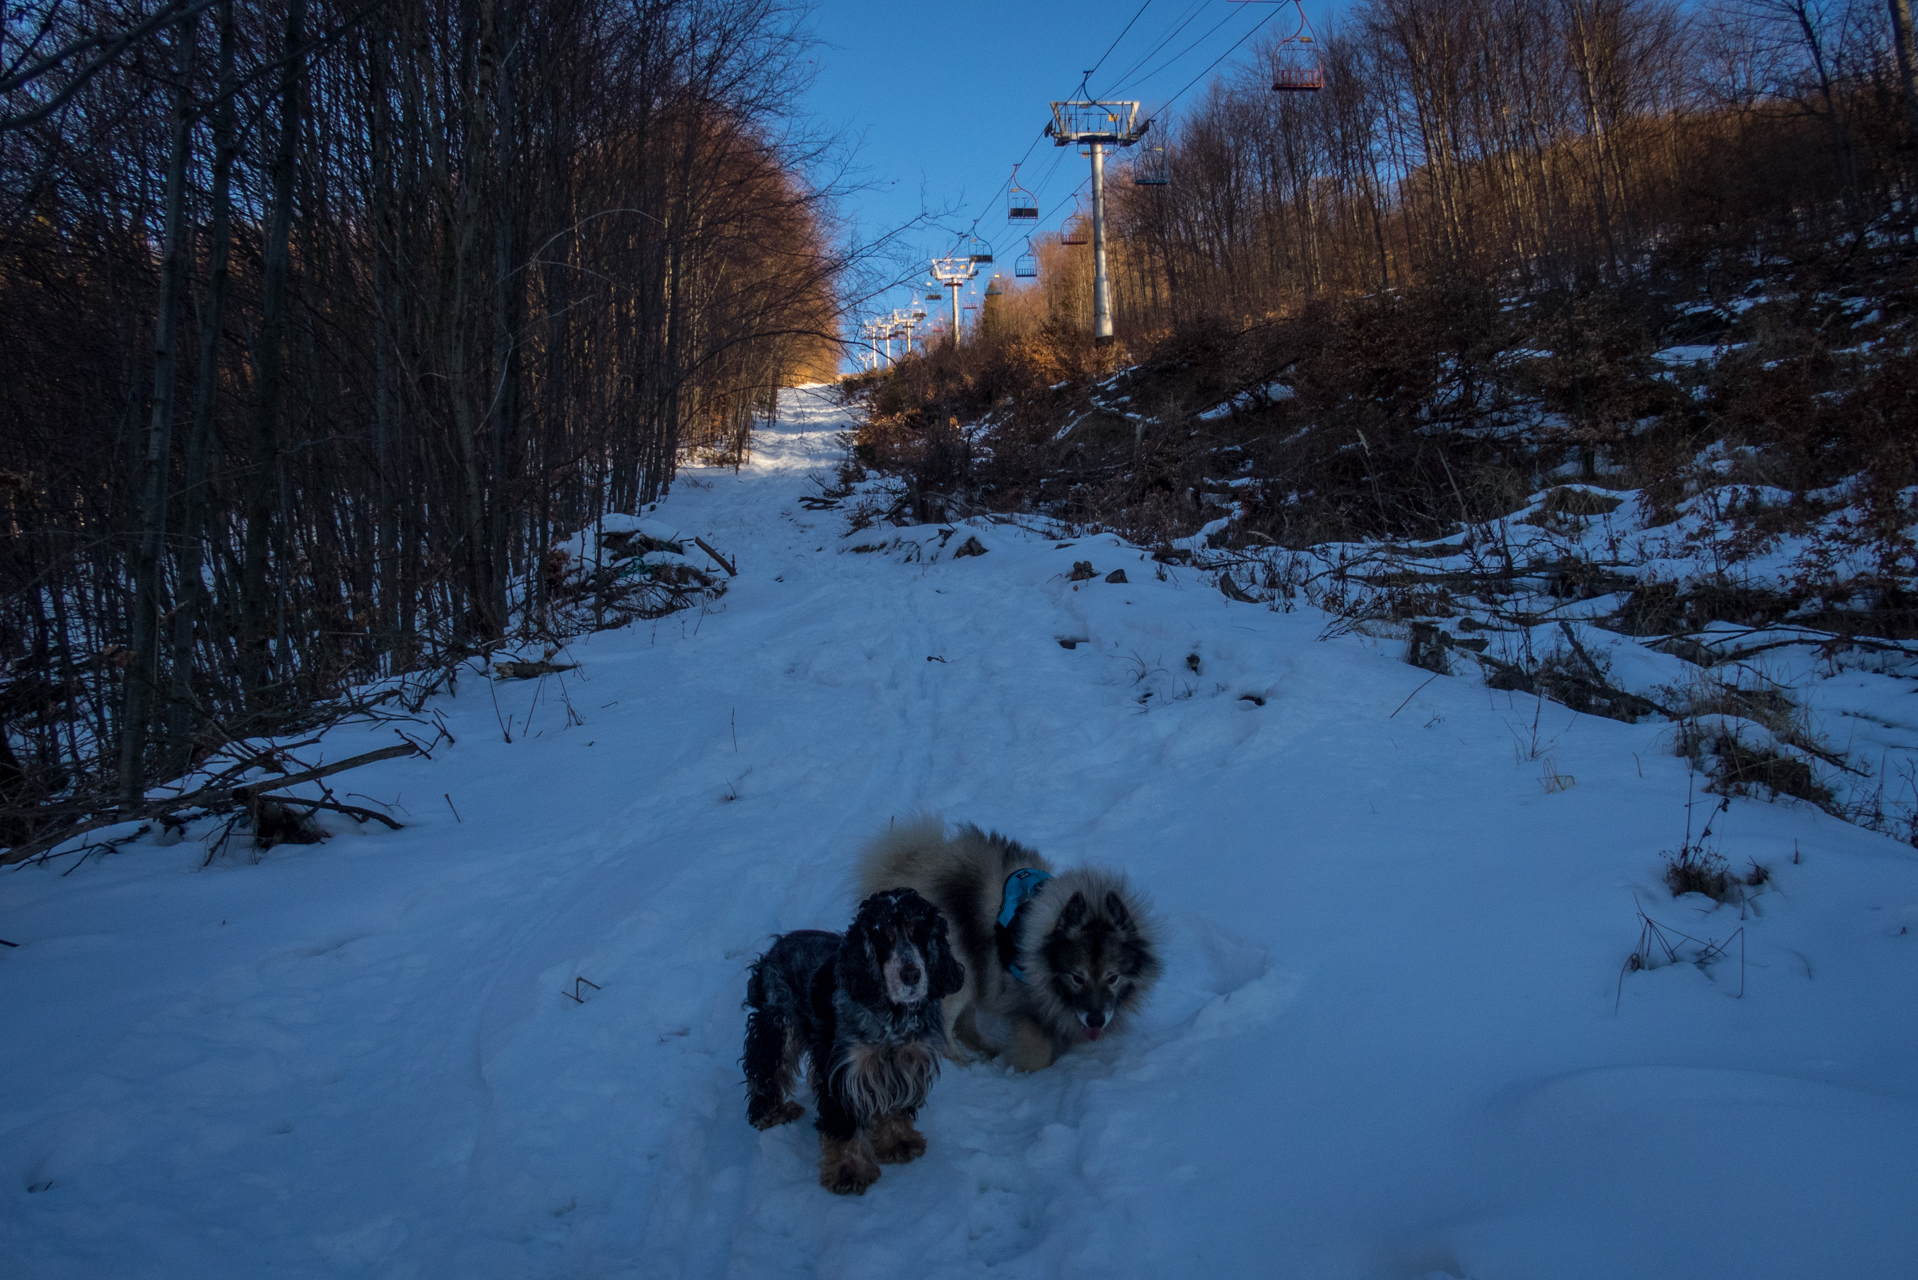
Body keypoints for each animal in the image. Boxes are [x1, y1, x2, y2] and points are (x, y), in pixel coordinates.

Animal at [863, 821, 1158, 1074]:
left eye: (1112, 978)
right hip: (958, 970)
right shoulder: (1028, 1001)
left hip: (971, 970)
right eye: (1077, 978)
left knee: (965, 1024)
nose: (1096, 1020)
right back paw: (965, 1062)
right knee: (941, 1031)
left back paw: (988, 1049)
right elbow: (1036, 1052)